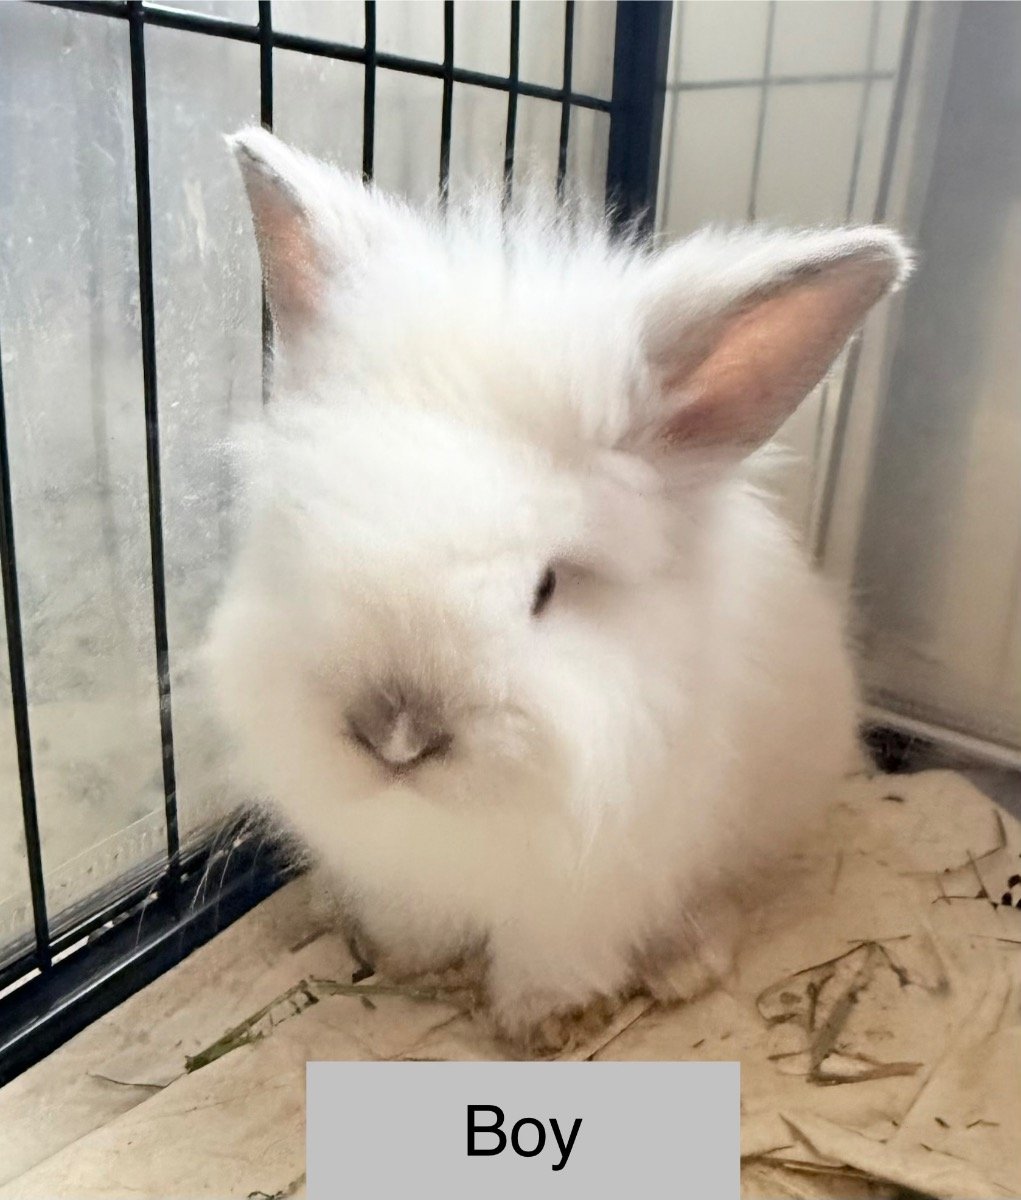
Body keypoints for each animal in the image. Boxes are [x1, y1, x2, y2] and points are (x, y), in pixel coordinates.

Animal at [206, 127, 911, 1054]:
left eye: (545, 587)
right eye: (306, 526)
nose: (394, 734)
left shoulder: (593, 887)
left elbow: (558, 954)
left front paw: (550, 1023)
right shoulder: (395, 863)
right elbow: (413, 920)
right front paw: (405, 960)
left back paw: (683, 964)